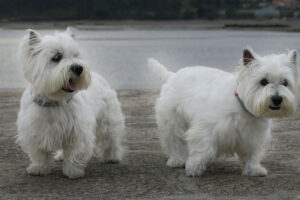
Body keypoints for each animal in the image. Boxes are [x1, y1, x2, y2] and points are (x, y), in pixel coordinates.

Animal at [16, 27, 124, 178]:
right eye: (56, 57)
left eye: (75, 55)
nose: (78, 68)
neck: (54, 100)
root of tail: (99, 76)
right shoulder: (34, 131)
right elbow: (40, 153)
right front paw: (38, 169)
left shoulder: (78, 131)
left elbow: (75, 153)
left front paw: (73, 171)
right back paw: (61, 156)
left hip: (108, 120)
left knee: (111, 139)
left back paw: (112, 157)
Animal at [149, 48, 298, 177]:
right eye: (263, 81)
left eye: (285, 82)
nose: (277, 99)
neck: (241, 105)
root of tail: (172, 75)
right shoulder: (205, 129)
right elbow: (202, 149)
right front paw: (193, 168)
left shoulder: (253, 136)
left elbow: (252, 154)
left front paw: (254, 170)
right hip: (172, 120)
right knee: (174, 141)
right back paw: (177, 160)